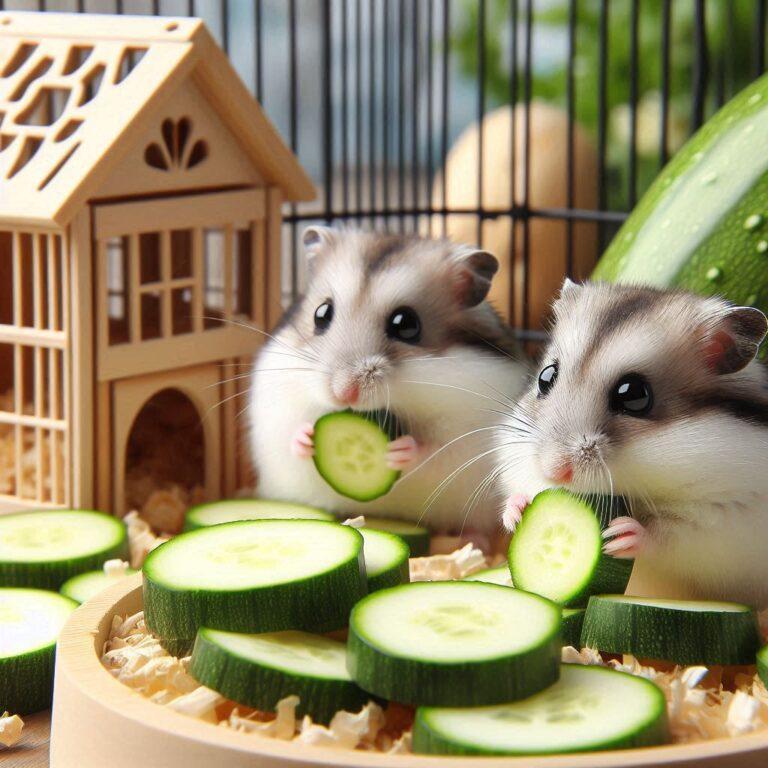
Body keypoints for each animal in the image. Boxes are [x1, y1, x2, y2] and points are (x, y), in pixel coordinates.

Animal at [249, 228, 532, 536]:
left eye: (406, 324)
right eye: (320, 314)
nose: (344, 393)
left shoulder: (467, 437)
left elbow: (436, 452)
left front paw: (399, 450)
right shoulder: (276, 411)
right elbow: (289, 435)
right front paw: (306, 437)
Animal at [498, 280, 768, 608]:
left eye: (635, 395)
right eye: (545, 377)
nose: (554, 471)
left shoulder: (725, 521)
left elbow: (672, 537)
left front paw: (623, 534)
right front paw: (516, 511)